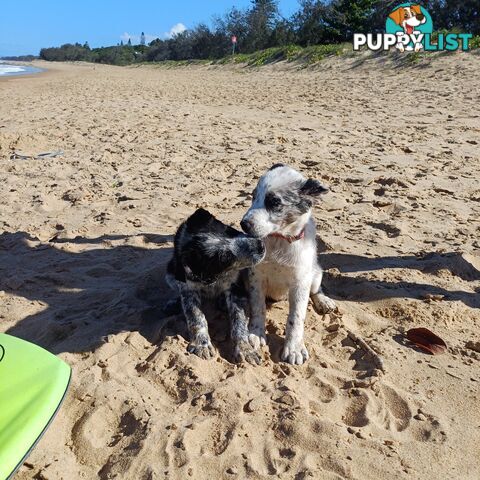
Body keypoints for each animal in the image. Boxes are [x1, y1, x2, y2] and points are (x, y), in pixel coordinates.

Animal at [164, 209, 262, 364]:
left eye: (230, 230)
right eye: (225, 259)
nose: (261, 246)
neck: (214, 275)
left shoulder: (236, 286)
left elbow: (239, 320)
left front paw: (245, 349)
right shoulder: (188, 289)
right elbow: (196, 316)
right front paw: (202, 344)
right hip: (170, 271)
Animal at [240, 164, 338, 364]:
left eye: (274, 202)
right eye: (253, 196)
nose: (243, 224)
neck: (279, 240)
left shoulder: (300, 282)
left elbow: (296, 318)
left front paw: (294, 349)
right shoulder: (256, 276)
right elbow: (258, 307)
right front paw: (256, 333)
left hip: (315, 272)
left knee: (316, 289)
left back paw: (324, 301)